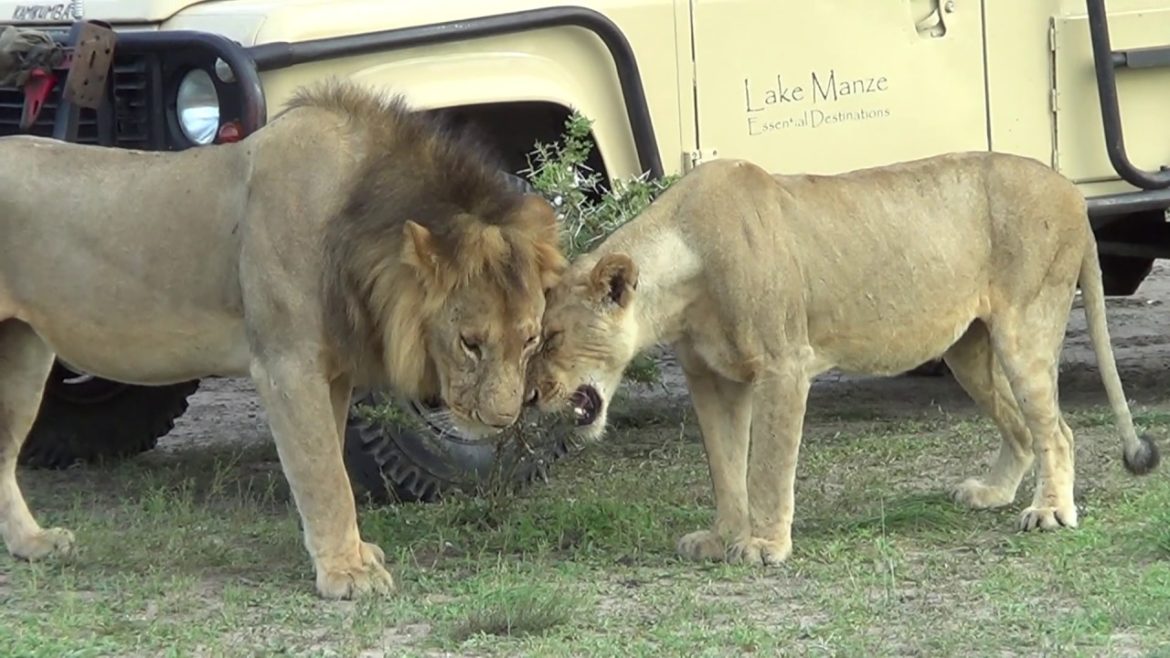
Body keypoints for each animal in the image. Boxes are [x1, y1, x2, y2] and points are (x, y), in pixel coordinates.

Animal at [0, 78, 566, 598]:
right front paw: (347, 575)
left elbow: (332, 466)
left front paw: (353, 555)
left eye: (531, 340)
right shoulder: (286, 366)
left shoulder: (332, 372)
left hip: (25, 359)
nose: (503, 419)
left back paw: (32, 544)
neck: (358, 234)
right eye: (470, 342)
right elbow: (324, 475)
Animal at [527, 153, 1160, 566]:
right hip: (967, 348)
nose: (530, 395)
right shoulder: (710, 379)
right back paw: (994, 493)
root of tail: (1072, 192)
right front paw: (722, 537)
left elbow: (767, 465)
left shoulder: (783, 365)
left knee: (1059, 432)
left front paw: (764, 546)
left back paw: (1050, 512)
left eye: (551, 337)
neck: (682, 269)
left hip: (1025, 327)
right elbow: (726, 466)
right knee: (1024, 429)